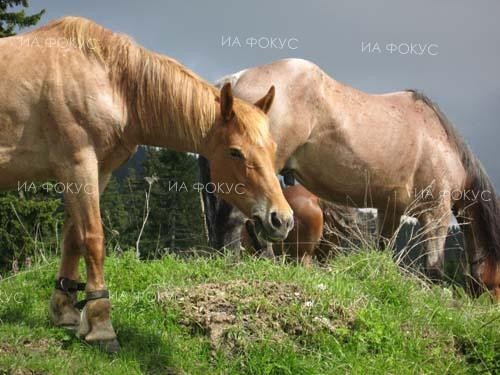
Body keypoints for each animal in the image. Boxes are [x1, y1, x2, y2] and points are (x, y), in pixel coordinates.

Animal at [0, 16, 292, 352]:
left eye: (273, 148)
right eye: (235, 152)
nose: (282, 220)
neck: (111, 80)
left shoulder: (97, 171)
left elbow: (73, 238)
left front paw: (65, 311)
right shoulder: (77, 164)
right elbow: (93, 239)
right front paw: (101, 325)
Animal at [199, 58, 500, 300]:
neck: (444, 145)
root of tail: (234, 80)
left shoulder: (390, 210)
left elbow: (384, 251)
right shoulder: (436, 213)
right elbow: (434, 267)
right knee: (239, 220)